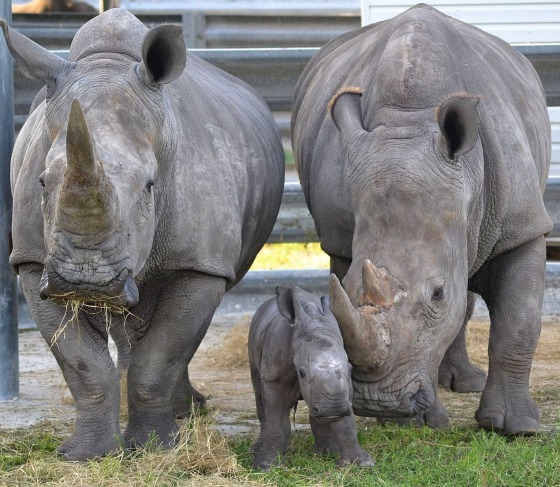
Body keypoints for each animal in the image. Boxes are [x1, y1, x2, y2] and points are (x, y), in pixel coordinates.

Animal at [248, 286, 372, 468]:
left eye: (351, 370)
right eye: (302, 373)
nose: (334, 409)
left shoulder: (344, 384)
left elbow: (346, 424)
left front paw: (361, 463)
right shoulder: (274, 377)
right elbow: (277, 422)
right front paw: (267, 466)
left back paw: (326, 451)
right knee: (257, 388)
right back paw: (257, 450)